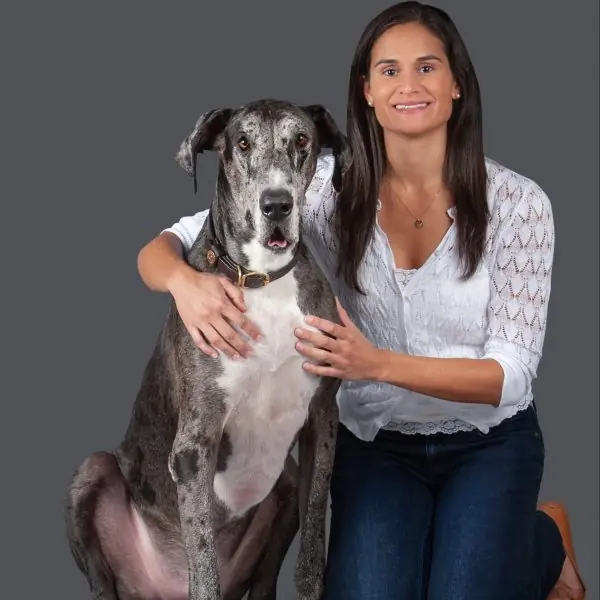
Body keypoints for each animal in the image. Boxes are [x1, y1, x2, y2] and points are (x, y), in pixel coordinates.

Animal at [65, 99, 352, 600]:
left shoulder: (321, 420)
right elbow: (202, 557)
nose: (277, 203)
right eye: (243, 142)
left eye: (302, 139)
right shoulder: (193, 446)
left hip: (284, 485)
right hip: (91, 474)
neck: (262, 278)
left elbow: (315, 534)